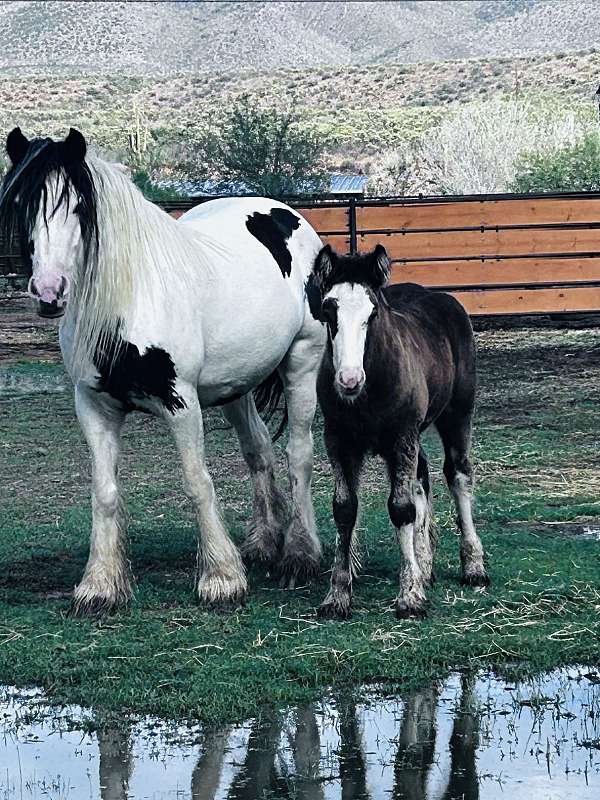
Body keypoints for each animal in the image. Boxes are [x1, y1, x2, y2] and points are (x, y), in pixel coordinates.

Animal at [0, 127, 326, 615]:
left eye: (79, 207)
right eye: (24, 204)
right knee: (259, 451)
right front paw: (100, 584)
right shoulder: (93, 407)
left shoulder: (181, 402)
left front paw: (221, 579)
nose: (49, 291)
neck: (129, 299)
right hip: (236, 386)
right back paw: (264, 543)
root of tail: (286, 214)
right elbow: (104, 490)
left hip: (302, 361)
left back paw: (300, 556)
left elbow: (197, 482)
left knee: (299, 454)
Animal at [307, 243, 489, 620]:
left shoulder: (402, 436)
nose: (349, 380)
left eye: (372, 314)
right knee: (422, 478)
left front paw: (410, 597)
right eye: (328, 313)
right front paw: (337, 596)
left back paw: (473, 567)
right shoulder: (339, 440)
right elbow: (345, 508)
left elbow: (402, 508)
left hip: (457, 413)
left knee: (458, 474)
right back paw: (425, 564)